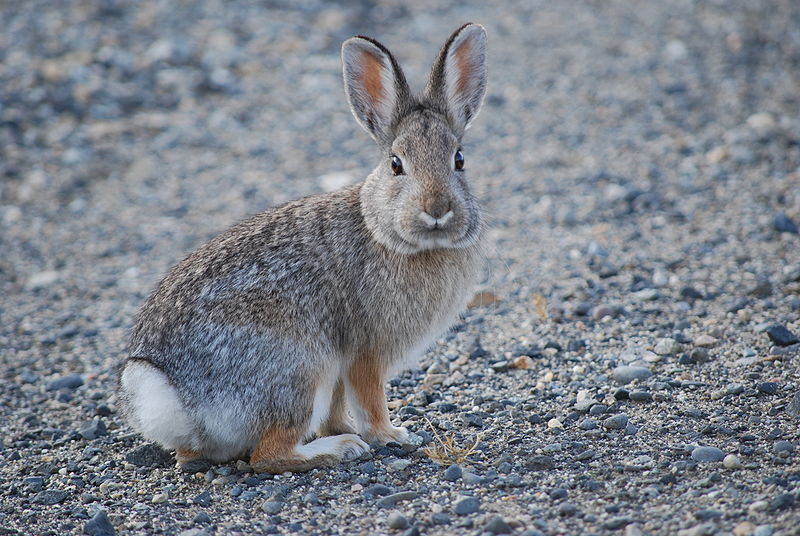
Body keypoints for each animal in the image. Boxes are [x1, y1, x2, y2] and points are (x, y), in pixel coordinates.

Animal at [119, 23, 490, 472]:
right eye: (396, 164)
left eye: (459, 160)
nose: (436, 209)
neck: (387, 232)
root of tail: (174, 396)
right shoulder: (365, 351)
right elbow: (370, 399)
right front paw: (390, 435)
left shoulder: (343, 367)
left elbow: (337, 407)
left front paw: (346, 428)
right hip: (300, 367)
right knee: (268, 454)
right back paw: (339, 449)